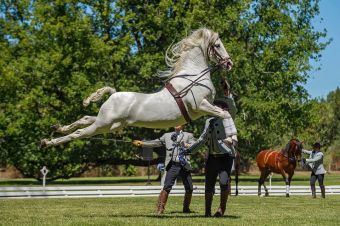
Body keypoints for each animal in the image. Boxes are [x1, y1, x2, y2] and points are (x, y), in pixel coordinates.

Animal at [41, 28, 234, 147]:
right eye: (218, 45)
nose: (229, 63)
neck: (193, 76)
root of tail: (113, 94)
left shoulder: (206, 107)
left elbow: (225, 113)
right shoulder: (201, 106)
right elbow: (225, 114)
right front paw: (231, 137)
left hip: (108, 123)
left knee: (85, 118)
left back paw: (56, 129)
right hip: (103, 124)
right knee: (80, 132)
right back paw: (47, 142)